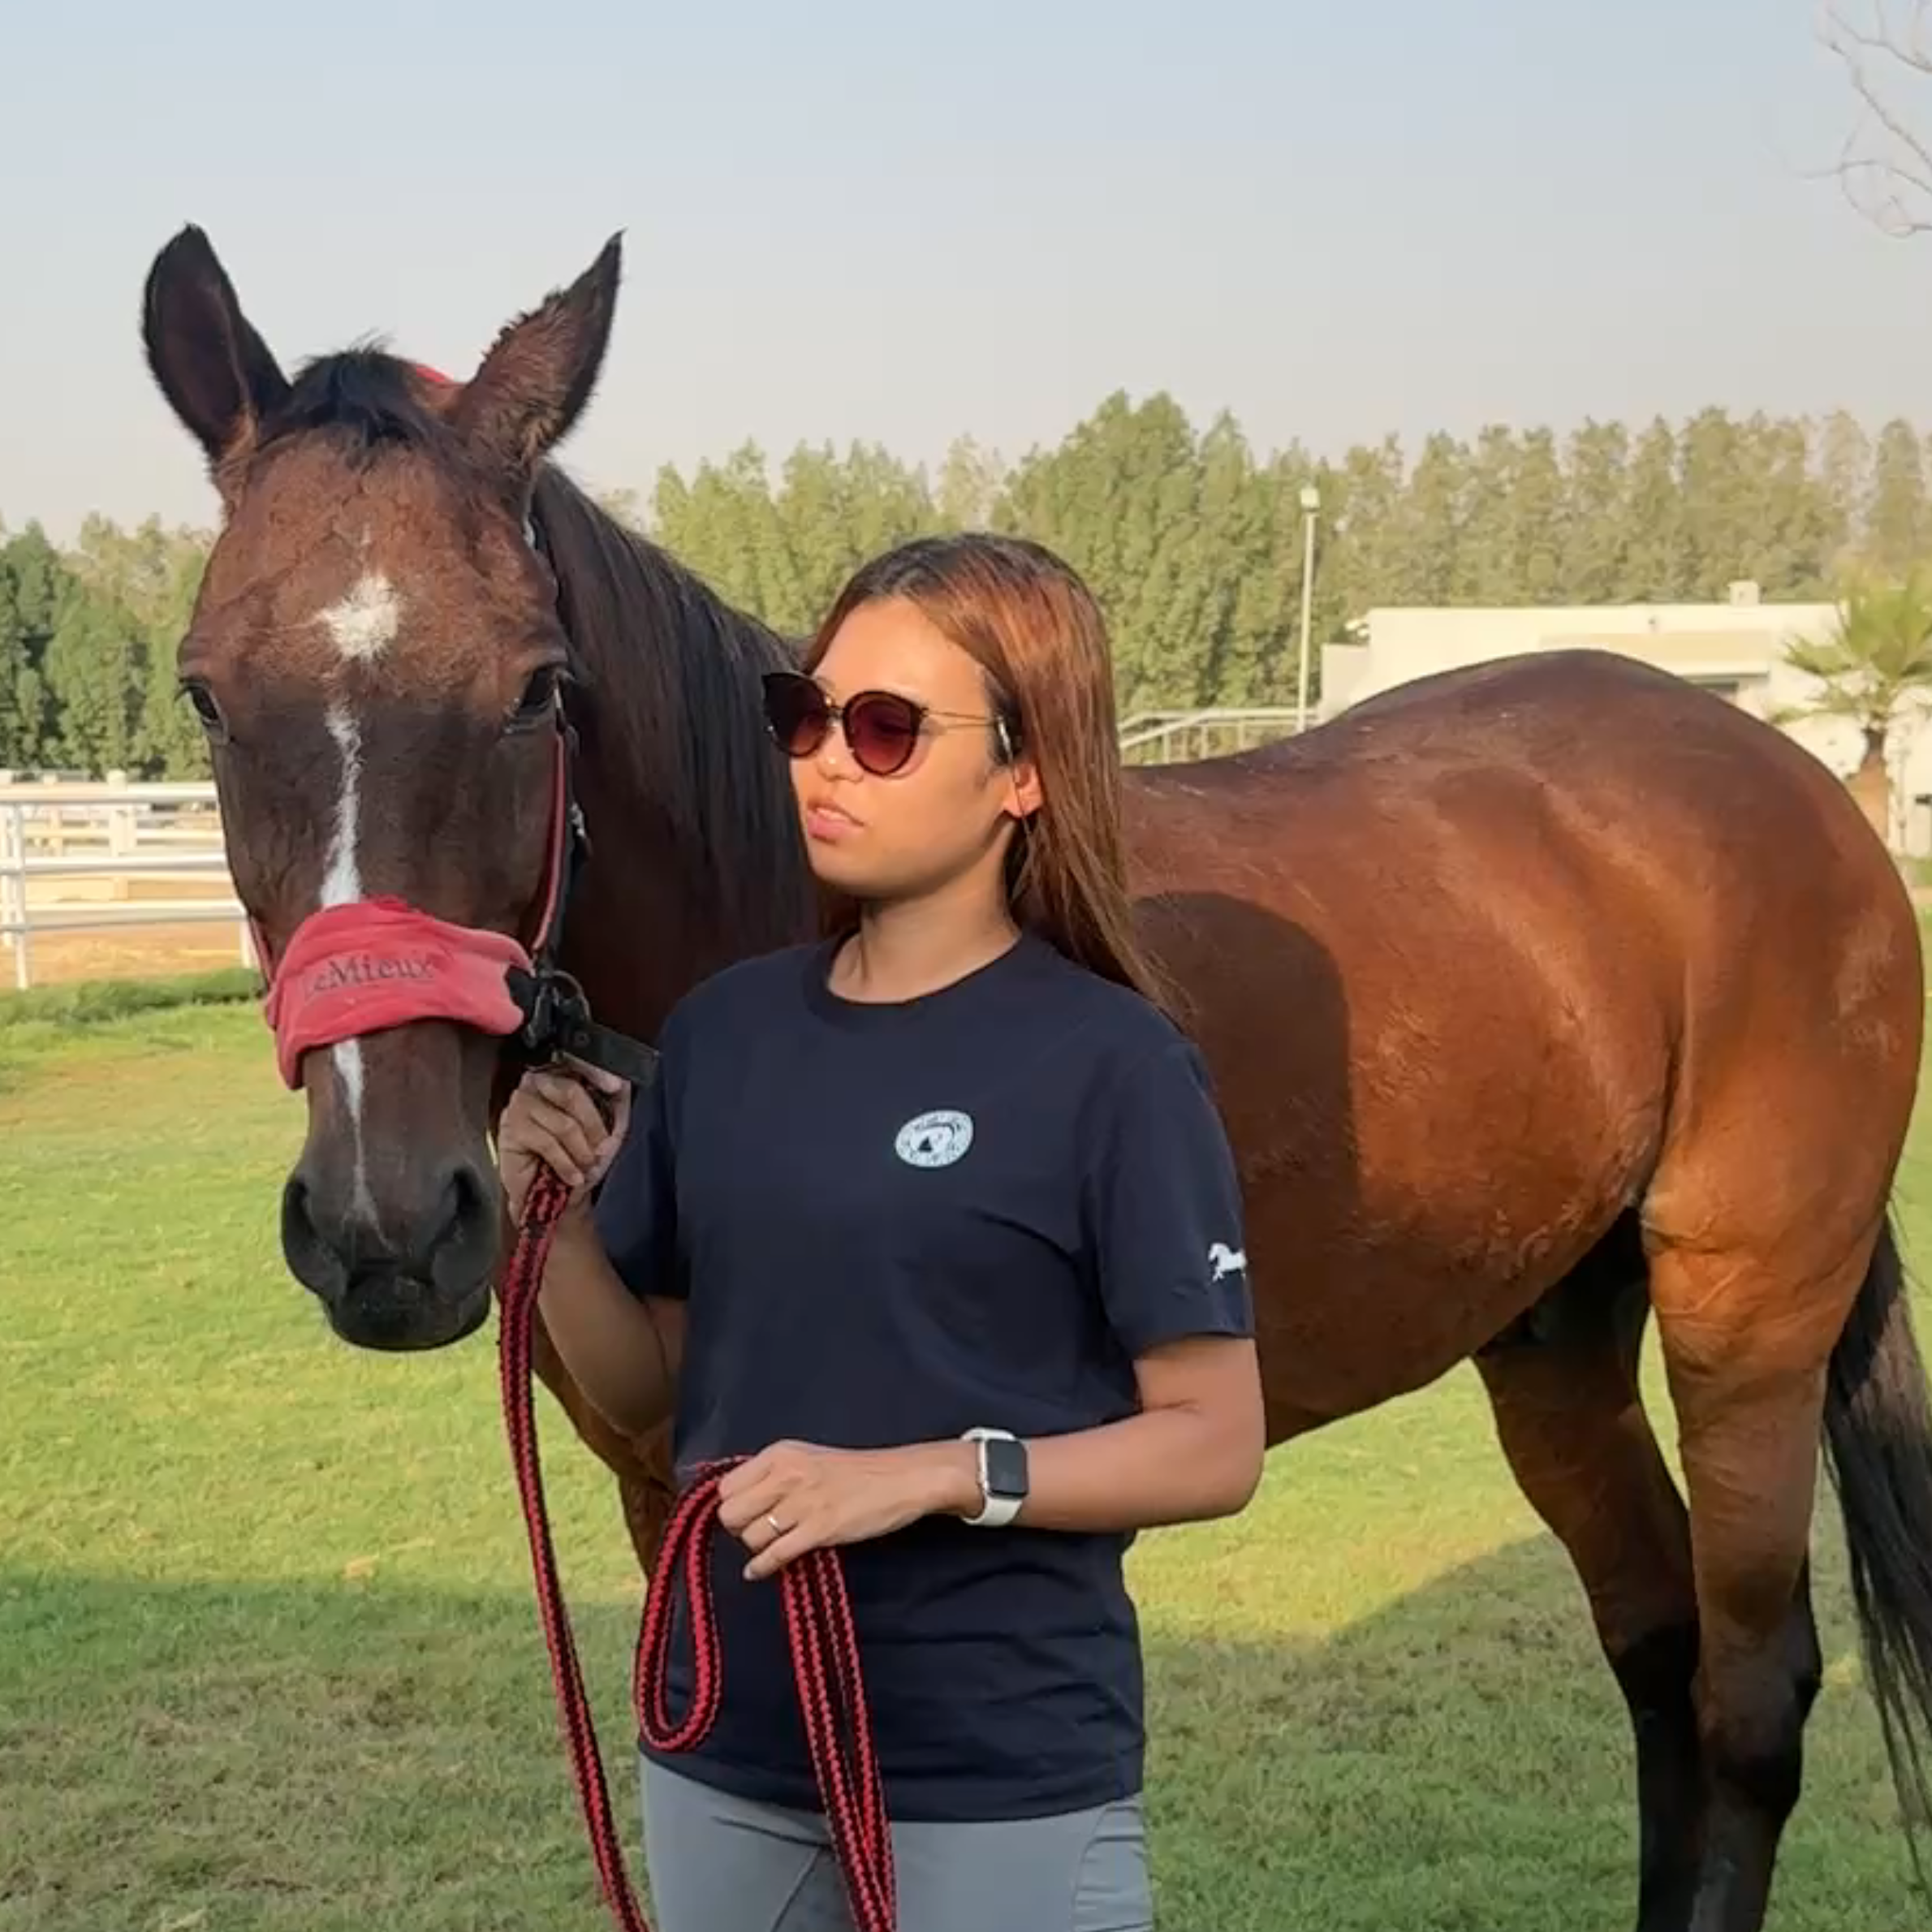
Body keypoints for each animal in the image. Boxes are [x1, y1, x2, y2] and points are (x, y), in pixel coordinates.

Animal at [139, 223, 1932, 1932]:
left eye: (535, 684)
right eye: (206, 689)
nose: (385, 1226)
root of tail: (1788, 779)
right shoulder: (674, 1509)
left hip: (1744, 1322)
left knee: (1746, 1695)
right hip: (1552, 1333)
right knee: (1655, 1660)